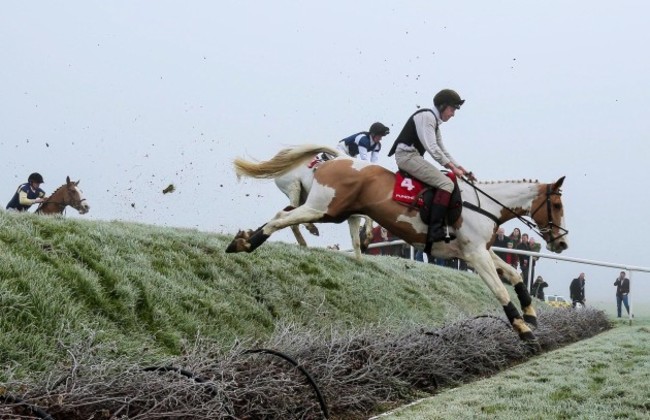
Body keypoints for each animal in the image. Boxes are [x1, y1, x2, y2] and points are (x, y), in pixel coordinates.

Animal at [234, 145, 374, 260]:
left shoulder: (353, 216)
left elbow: (356, 241)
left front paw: (361, 256)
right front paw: (367, 237)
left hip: (304, 195)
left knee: (294, 212)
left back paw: (310, 228)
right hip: (294, 188)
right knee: (292, 218)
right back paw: (303, 241)